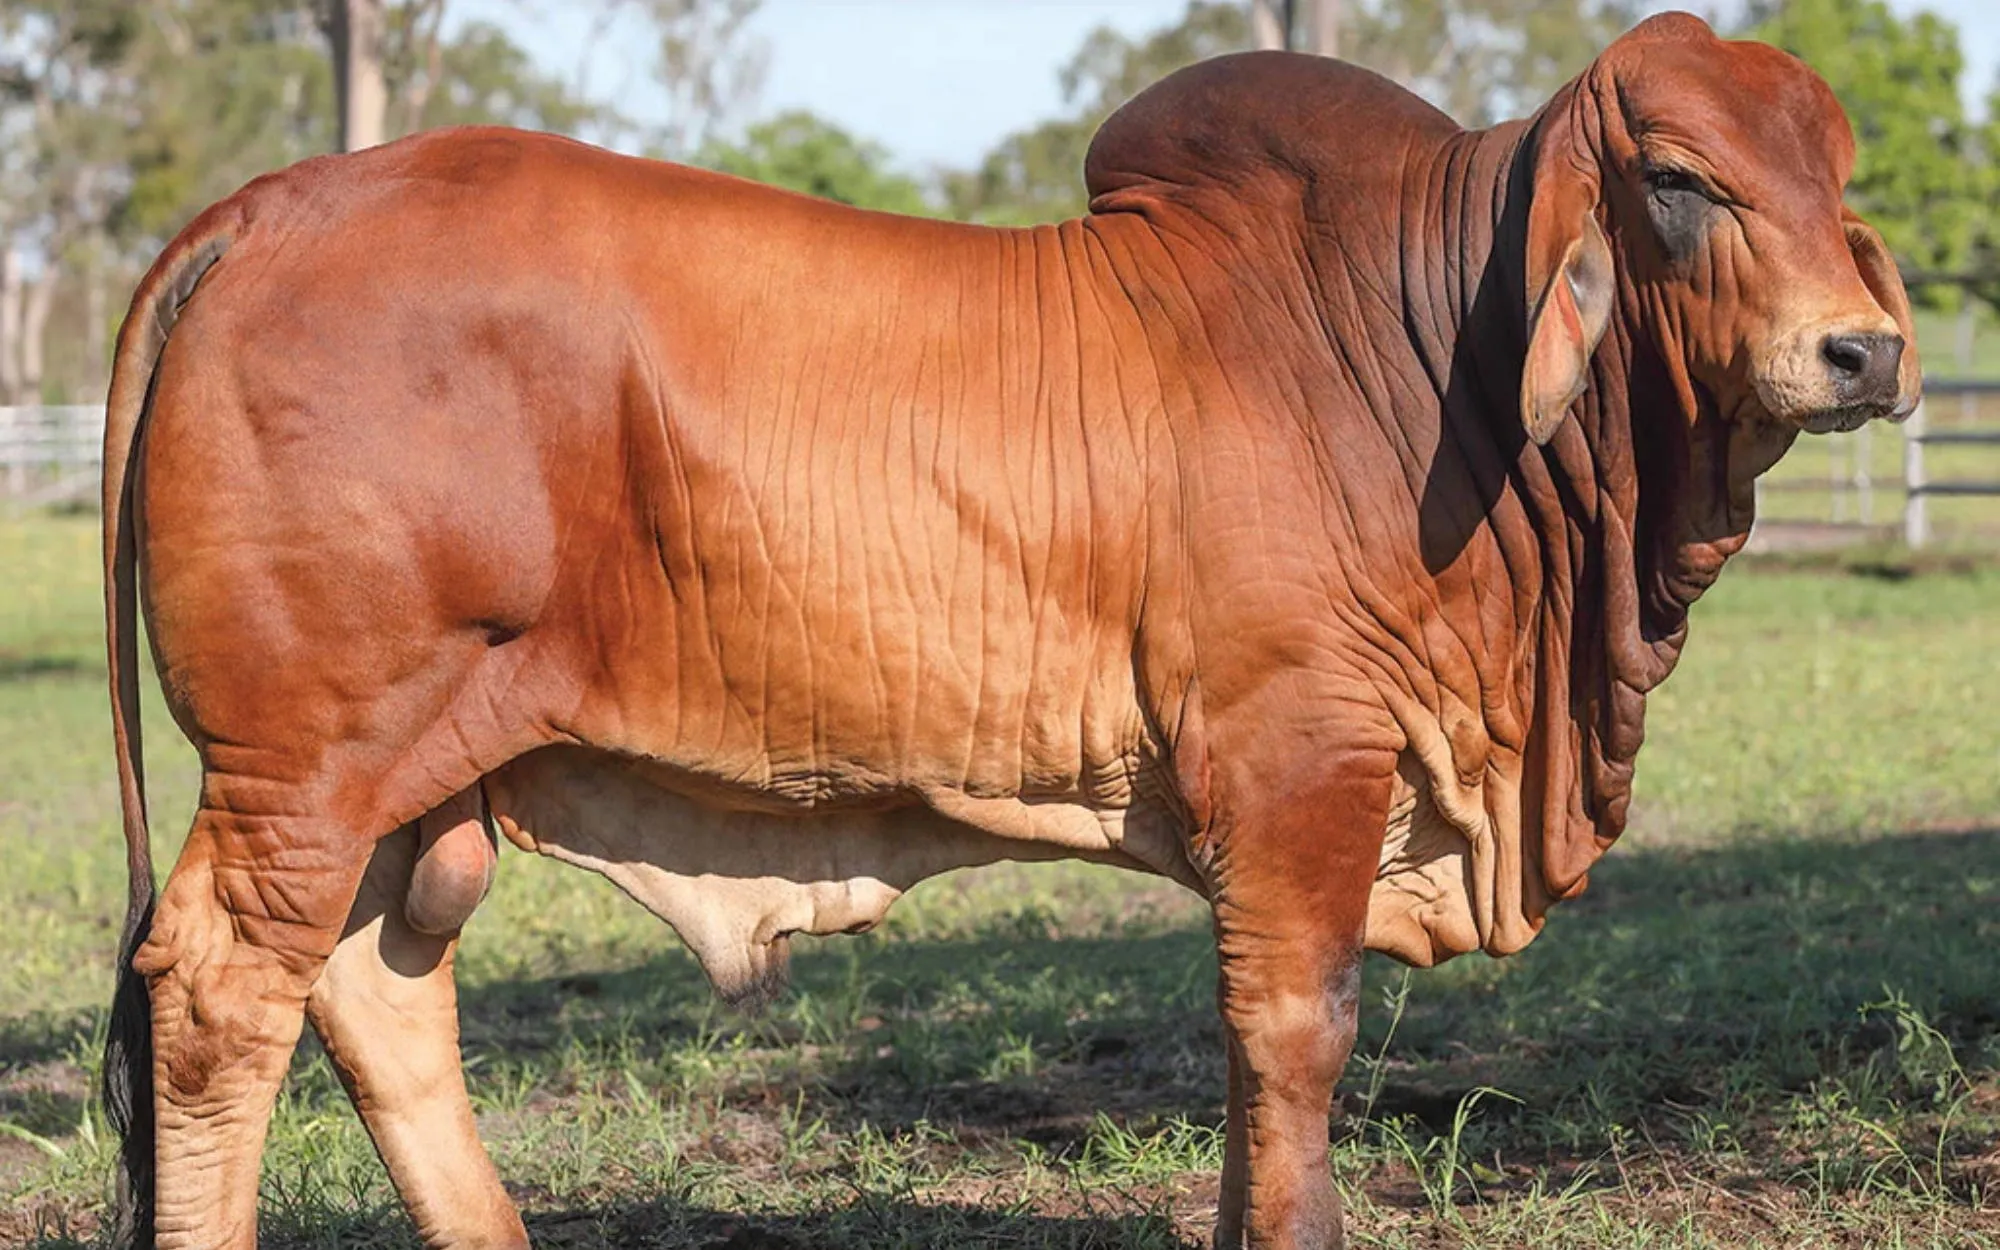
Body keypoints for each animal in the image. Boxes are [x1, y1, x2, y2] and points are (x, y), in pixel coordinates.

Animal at [100, 12, 1916, 1249]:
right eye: (1676, 182)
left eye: (1837, 181)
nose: (1865, 350)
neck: (1424, 368)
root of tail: (269, 207)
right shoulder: (1301, 759)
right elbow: (1297, 1037)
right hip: (303, 763)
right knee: (218, 997)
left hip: (405, 774)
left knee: (375, 994)